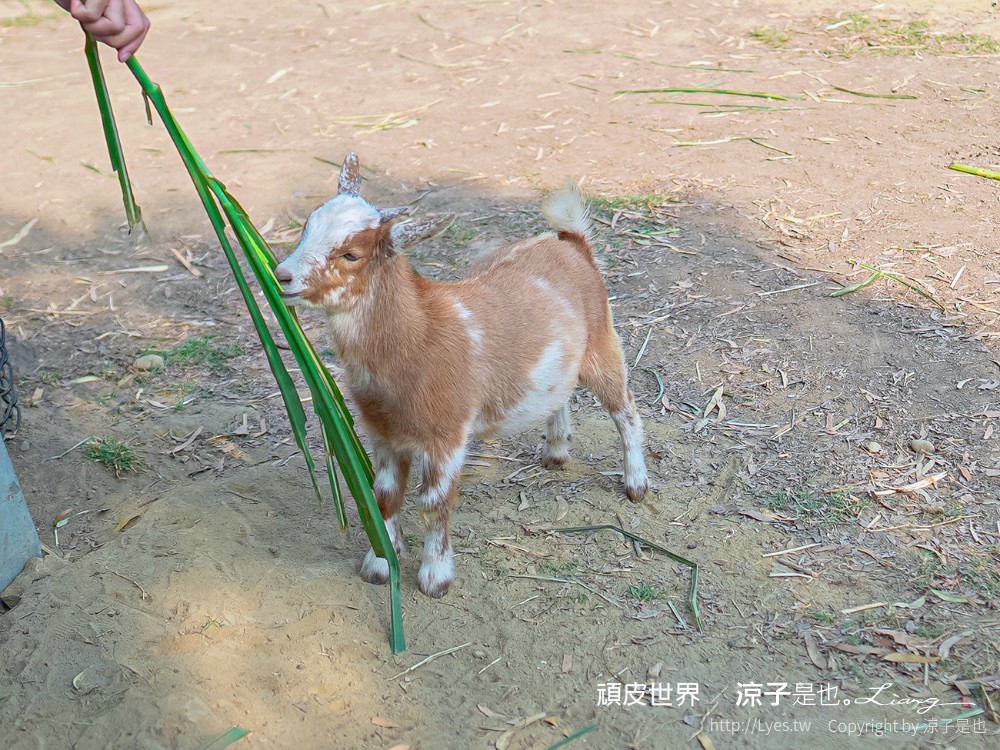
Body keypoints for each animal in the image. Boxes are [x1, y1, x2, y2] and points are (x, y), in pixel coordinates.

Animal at [274, 153, 649, 598]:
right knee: (561, 394)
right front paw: (380, 564)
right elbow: (384, 497)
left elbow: (434, 504)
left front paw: (435, 578)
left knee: (626, 410)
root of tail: (570, 241)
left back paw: (636, 484)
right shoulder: (383, 434)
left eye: (351, 254)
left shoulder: (447, 435)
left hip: (601, 342)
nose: (281, 275)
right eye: (306, 228)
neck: (419, 334)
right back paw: (556, 452)